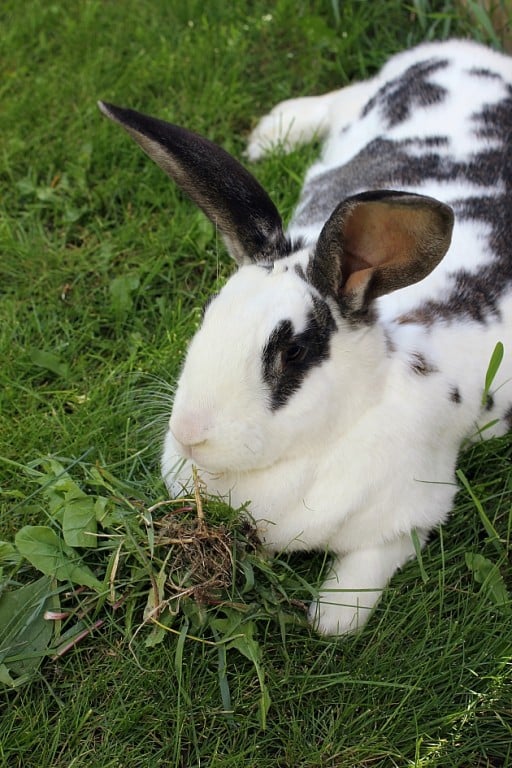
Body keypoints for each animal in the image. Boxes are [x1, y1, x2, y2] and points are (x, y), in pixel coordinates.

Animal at [99, 37, 512, 636]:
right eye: (208, 311)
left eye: (292, 350)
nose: (189, 434)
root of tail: (472, 52)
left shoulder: (417, 510)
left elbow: (367, 568)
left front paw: (330, 616)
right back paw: (271, 134)